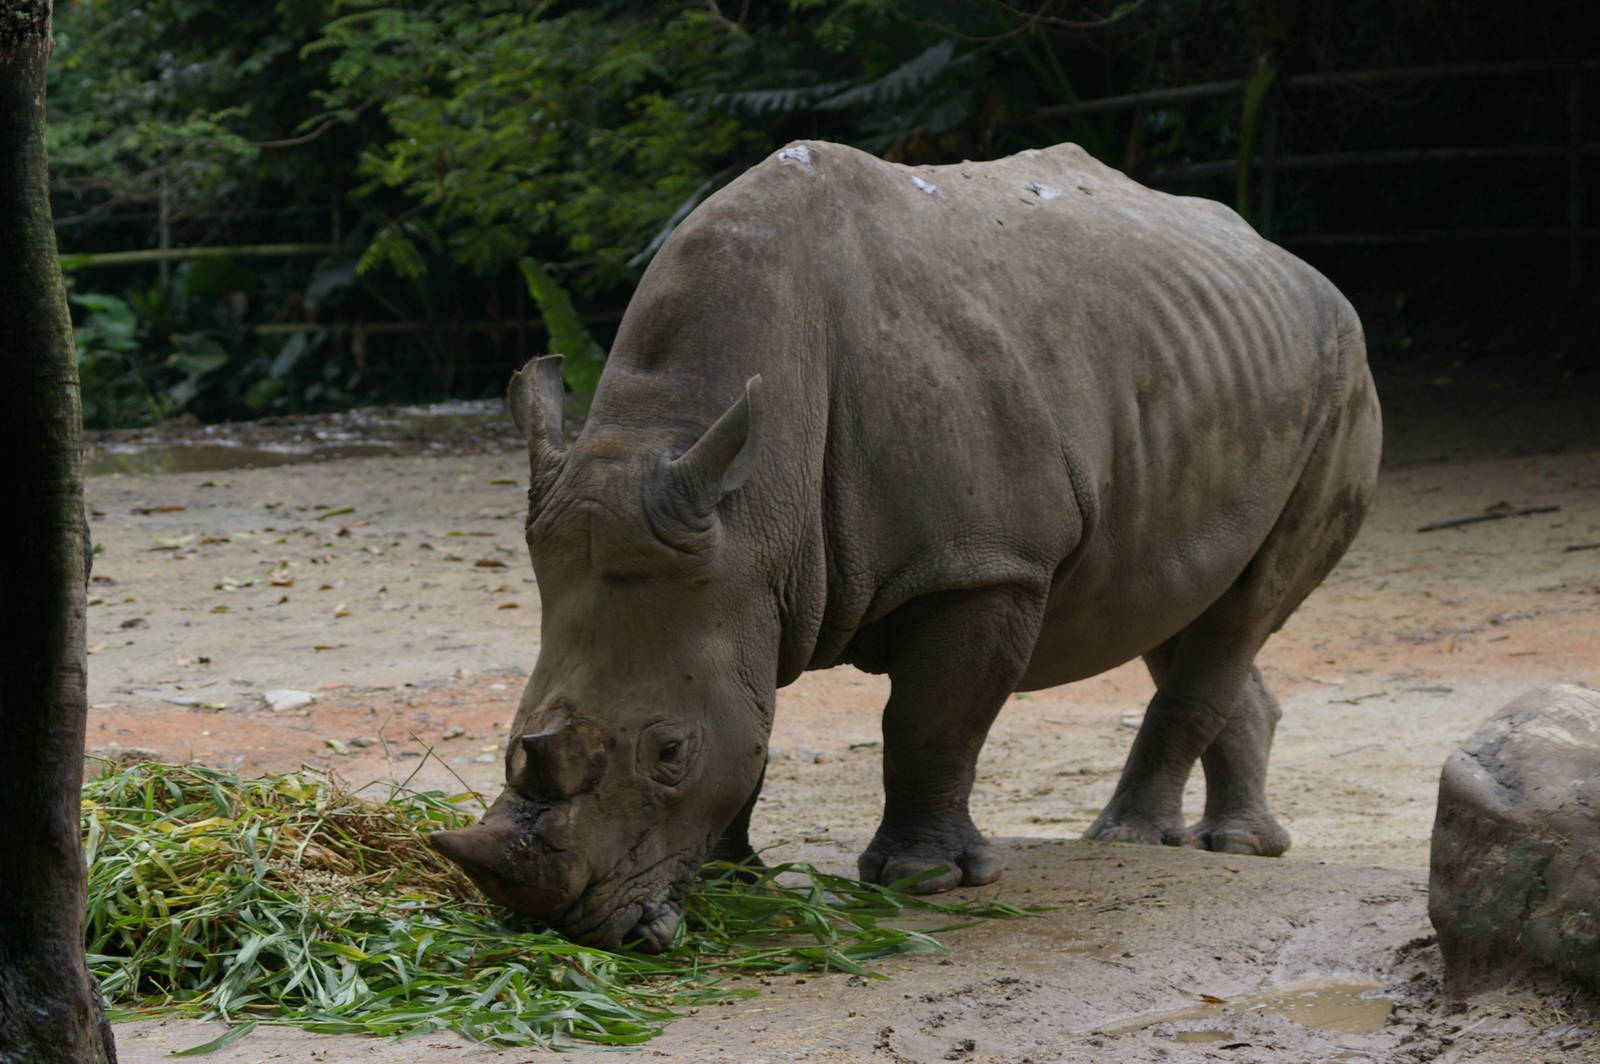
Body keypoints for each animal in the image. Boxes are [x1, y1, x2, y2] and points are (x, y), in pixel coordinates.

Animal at [430, 140, 1382, 952]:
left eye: (669, 754)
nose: (573, 929)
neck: (750, 507)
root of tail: (1291, 261)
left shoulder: (981, 564)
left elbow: (929, 721)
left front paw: (923, 883)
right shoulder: (739, 575)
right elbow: (753, 718)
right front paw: (738, 876)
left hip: (1345, 376)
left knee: (1245, 602)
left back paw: (1136, 843)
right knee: (1176, 602)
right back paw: (1236, 844)